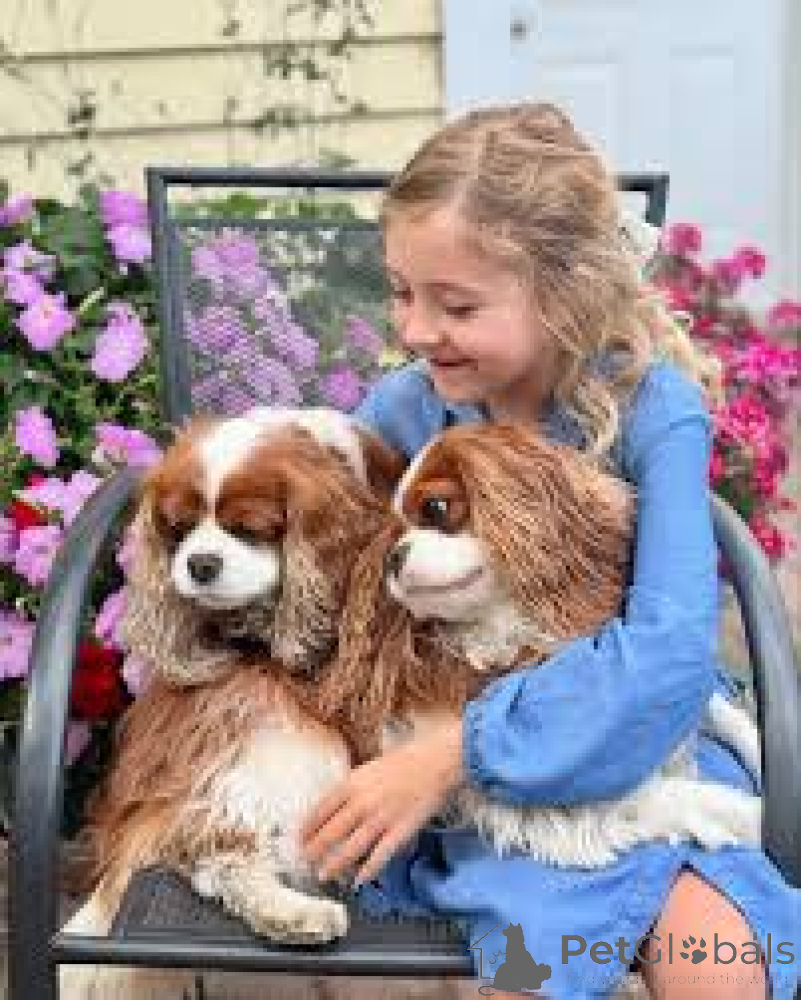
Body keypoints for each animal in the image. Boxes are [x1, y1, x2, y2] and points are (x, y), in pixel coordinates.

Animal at [59, 406, 405, 999]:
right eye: (177, 530)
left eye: (248, 529)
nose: (199, 563)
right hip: (274, 732)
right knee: (214, 849)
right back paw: (294, 914)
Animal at [322, 421, 762, 869]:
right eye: (393, 536)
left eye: (436, 508)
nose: (394, 557)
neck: (508, 632)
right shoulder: (559, 804)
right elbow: (688, 796)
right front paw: (755, 816)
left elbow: (714, 708)